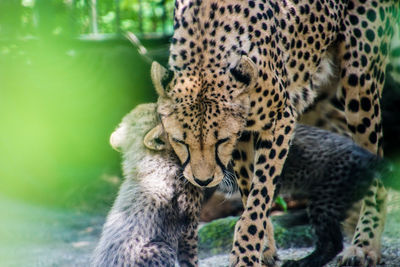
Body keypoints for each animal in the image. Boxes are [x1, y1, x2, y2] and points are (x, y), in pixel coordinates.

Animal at [148, 0, 398, 266]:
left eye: (221, 141)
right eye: (180, 141)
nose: (203, 180)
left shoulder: (279, 120)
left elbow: (260, 195)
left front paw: (246, 253)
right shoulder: (245, 133)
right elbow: (249, 192)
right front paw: (264, 249)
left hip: (360, 84)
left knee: (375, 165)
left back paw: (364, 245)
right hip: (319, 95)